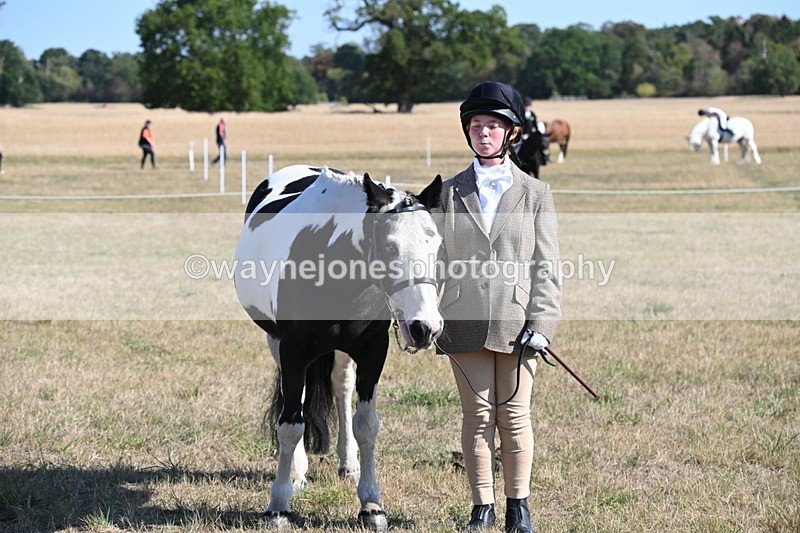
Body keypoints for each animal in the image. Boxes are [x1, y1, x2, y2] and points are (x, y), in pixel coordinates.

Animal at [234, 164, 443, 531]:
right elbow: (291, 424)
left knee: (342, 388)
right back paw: (297, 472)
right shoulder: (293, 351)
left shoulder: (373, 351)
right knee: (295, 401)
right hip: (276, 344)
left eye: (436, 245)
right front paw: (278, 505)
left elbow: (367, 424)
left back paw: (349, 463)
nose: (424, 327)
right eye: (389, 247)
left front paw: (371, 505)